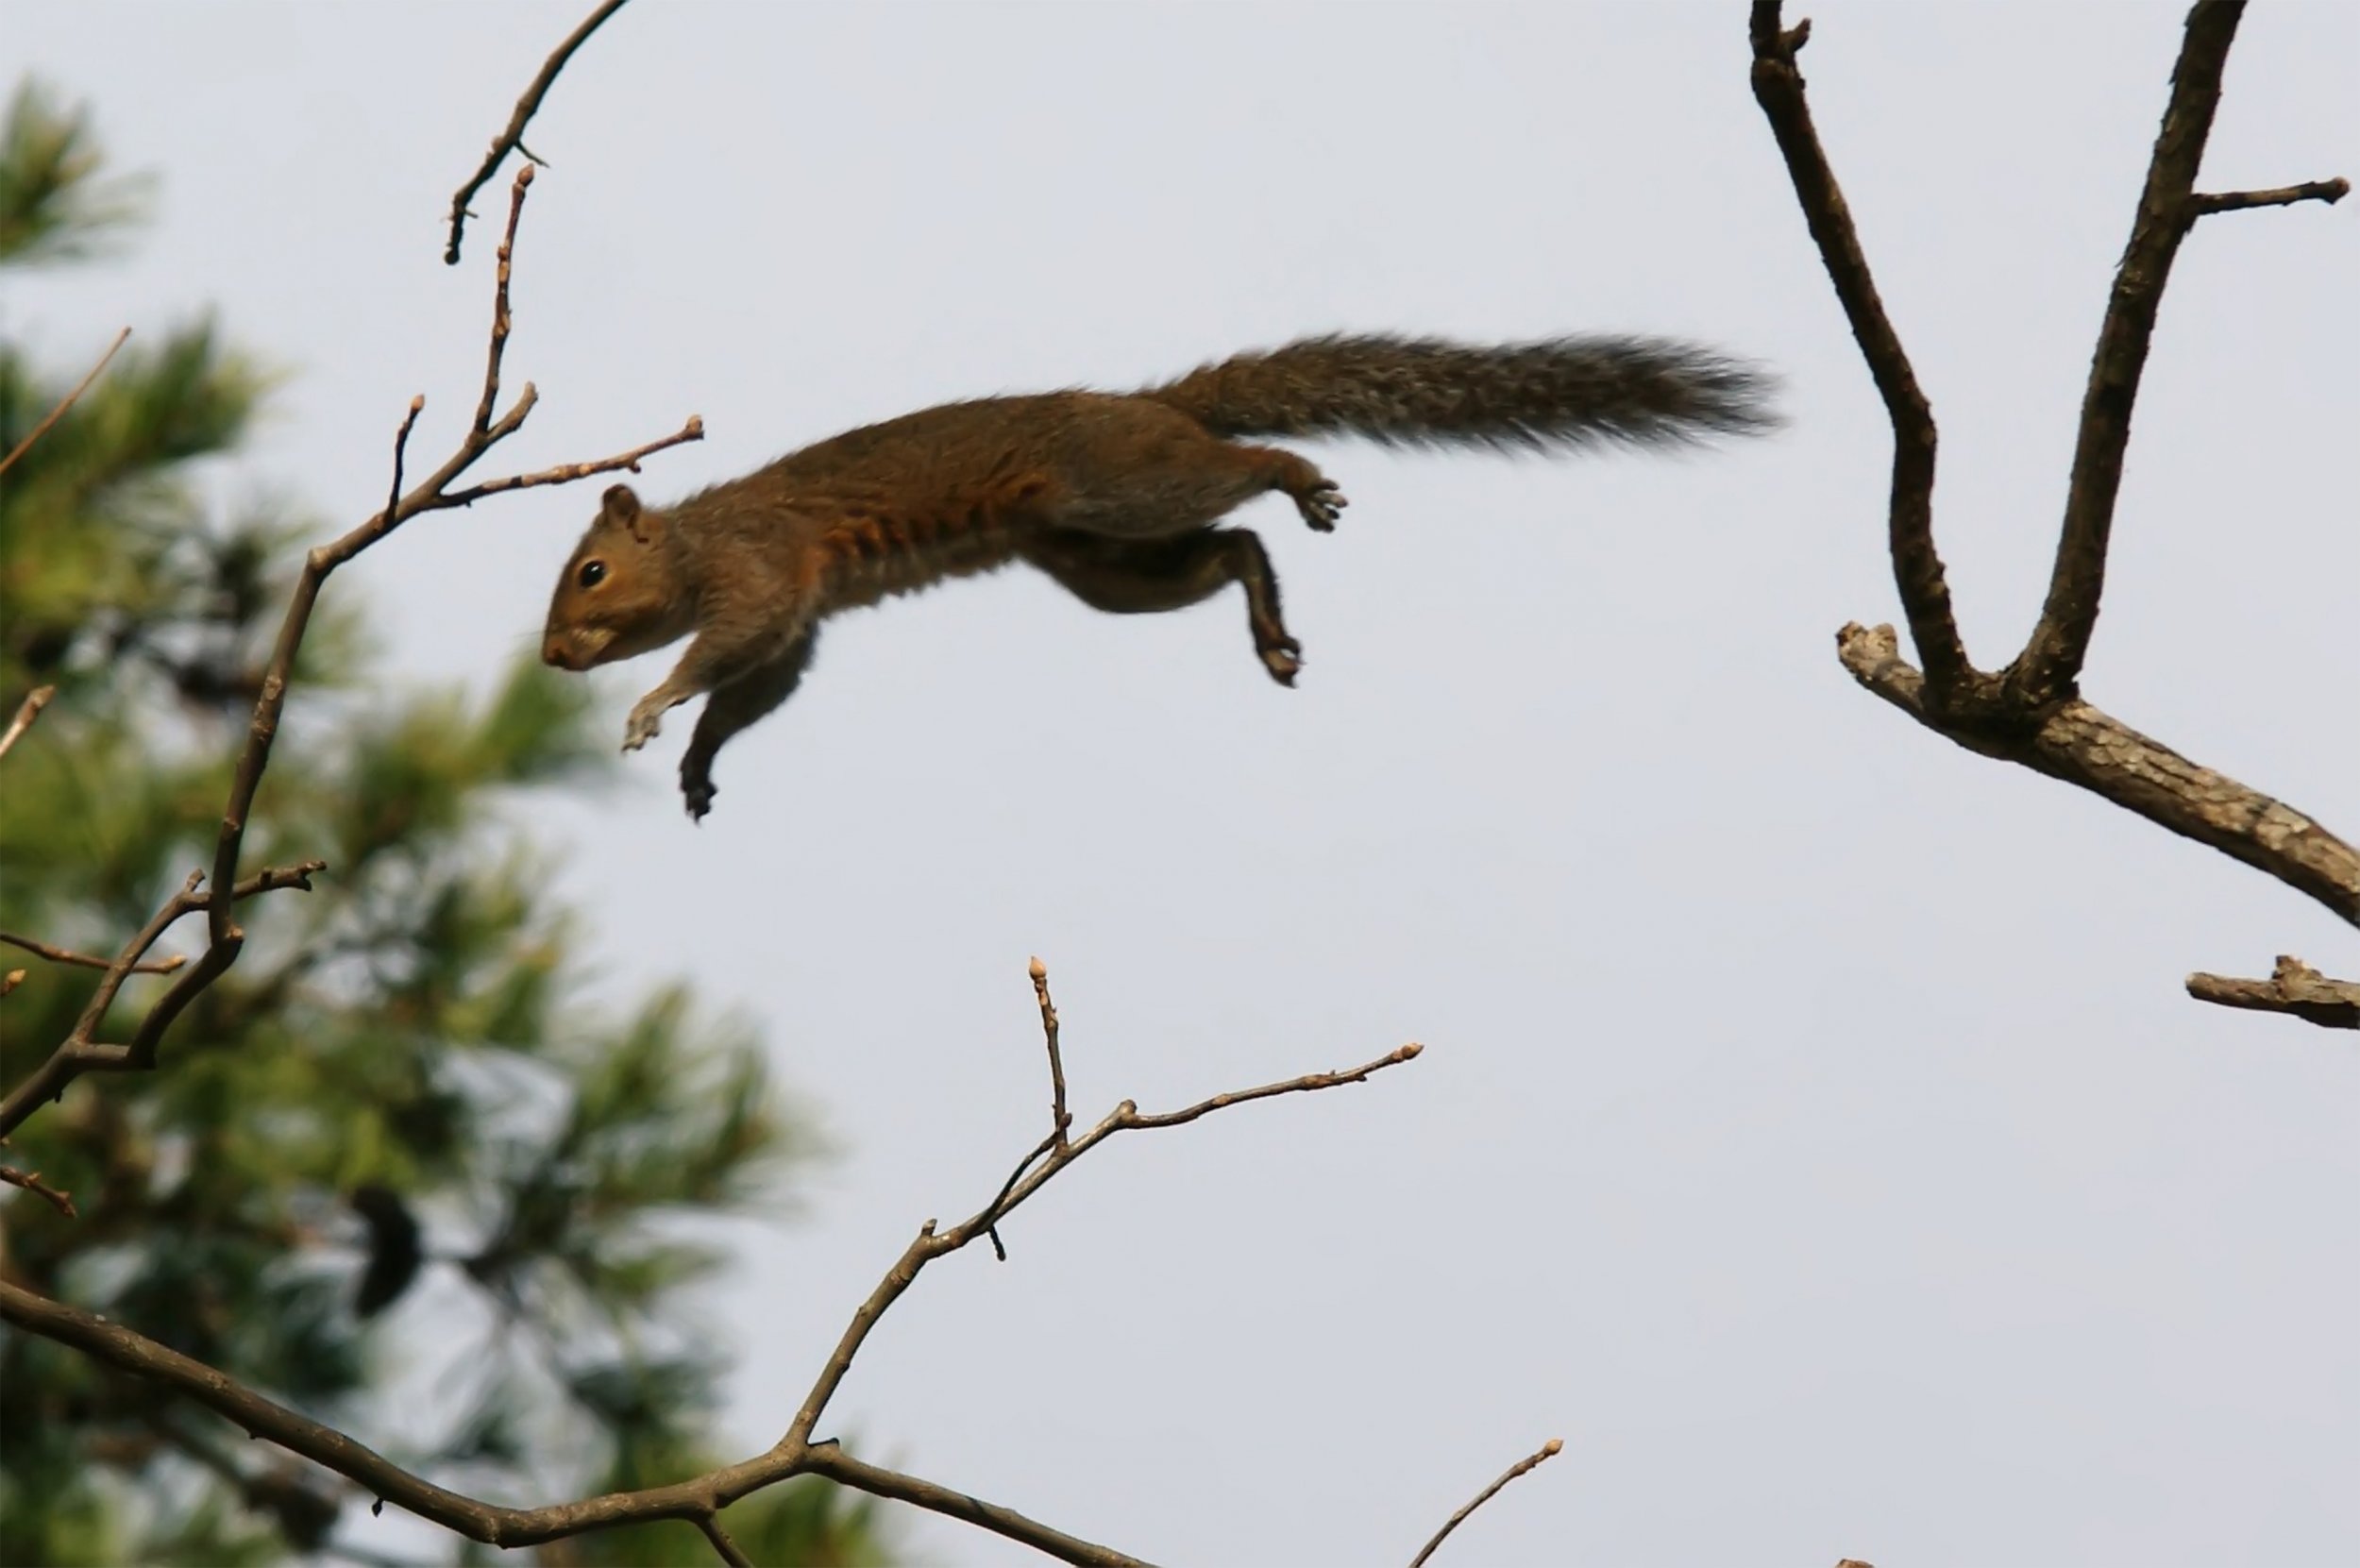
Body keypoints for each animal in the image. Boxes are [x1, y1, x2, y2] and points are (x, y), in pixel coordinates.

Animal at [543, 330, 1775, 821]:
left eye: (591, 571)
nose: (553, 658)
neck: (694, 540)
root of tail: (1161, 407)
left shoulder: (758, 574)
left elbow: (720, 651)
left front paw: (651, 707)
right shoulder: (794, 619)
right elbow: (755, 689)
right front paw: (698, 757)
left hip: (1120, 491)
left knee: (1240, 476)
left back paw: (1294, 476)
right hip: (1102, 561)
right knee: (1230, 548)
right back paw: (1268, 623)